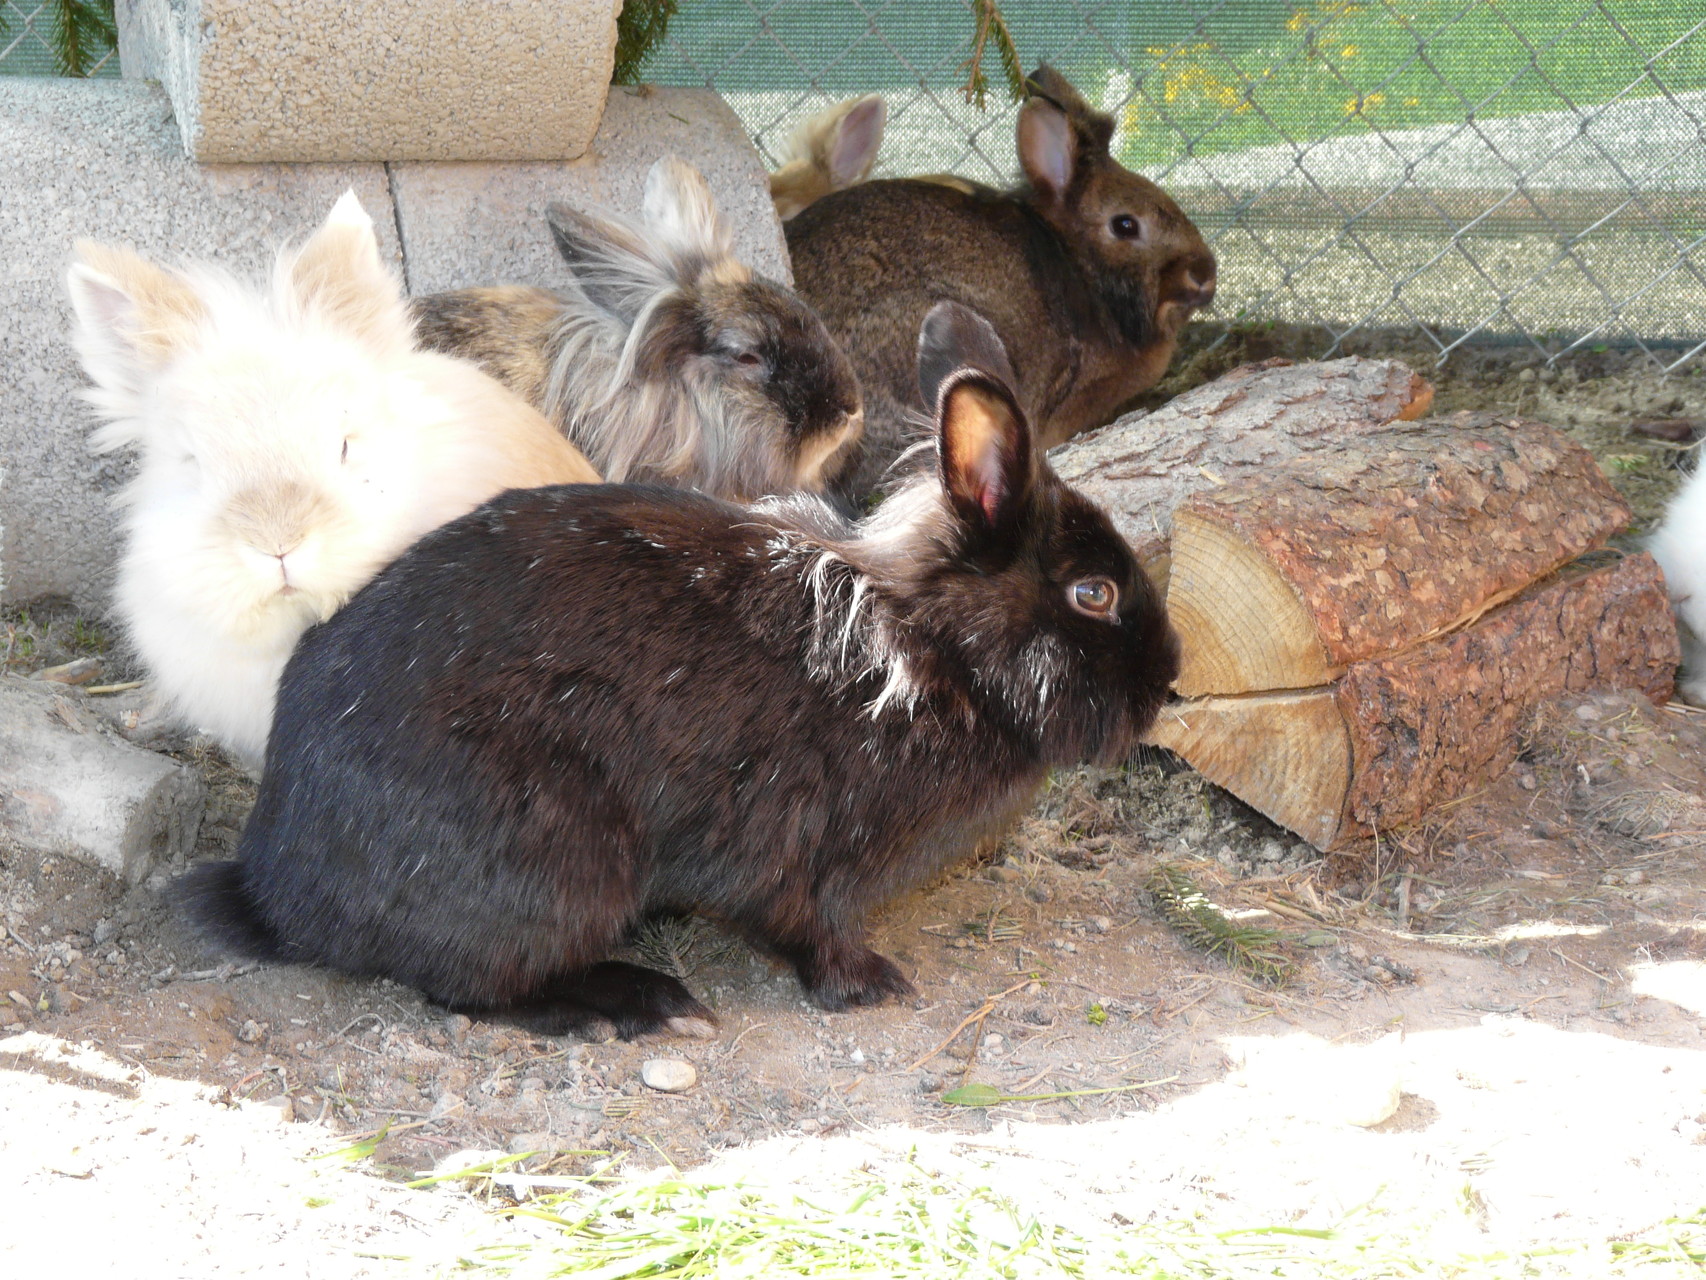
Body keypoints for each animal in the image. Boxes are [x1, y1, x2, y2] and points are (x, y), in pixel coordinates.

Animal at [179, 300, 1180, 1044]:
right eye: (1093, 593)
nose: (1170, 682)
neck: (930, 643)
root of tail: (280, 891)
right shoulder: (804, 854)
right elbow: (809, 927)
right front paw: (872, 984)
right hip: (562, 857)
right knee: (471, 988)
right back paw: (641, 1003)